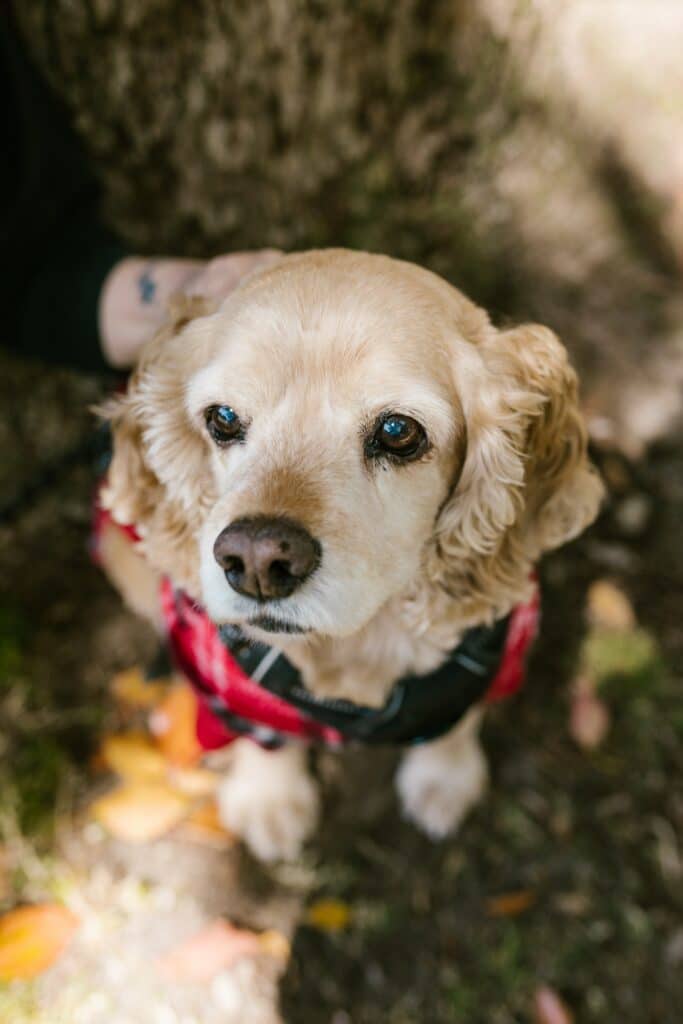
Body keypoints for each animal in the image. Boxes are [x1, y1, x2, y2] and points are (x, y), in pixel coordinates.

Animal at [97, 251, 602, 860]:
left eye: (397, 430)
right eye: (223, 419)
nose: (258, 560)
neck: (357, 649)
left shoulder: (484, 661)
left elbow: (454, 722)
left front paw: (445, 779)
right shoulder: (235, 694)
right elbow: (264, 737)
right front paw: (269, 800)